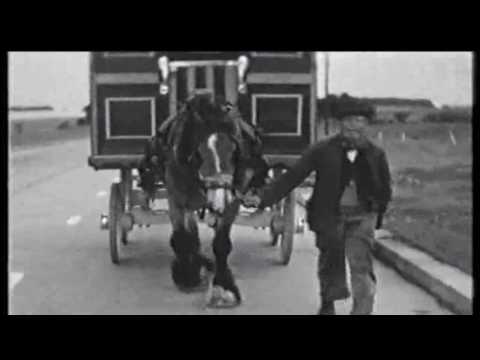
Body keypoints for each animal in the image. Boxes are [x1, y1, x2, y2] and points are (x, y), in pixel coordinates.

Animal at [138, 93, 270, 306]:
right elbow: (182, 237)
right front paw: (187, 275)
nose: (219, 196)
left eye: (234, 150)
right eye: (198, 152)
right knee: (189, 232)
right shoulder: (176, 198)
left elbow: (221, 243)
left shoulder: (233, 200)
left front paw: (223, 287)